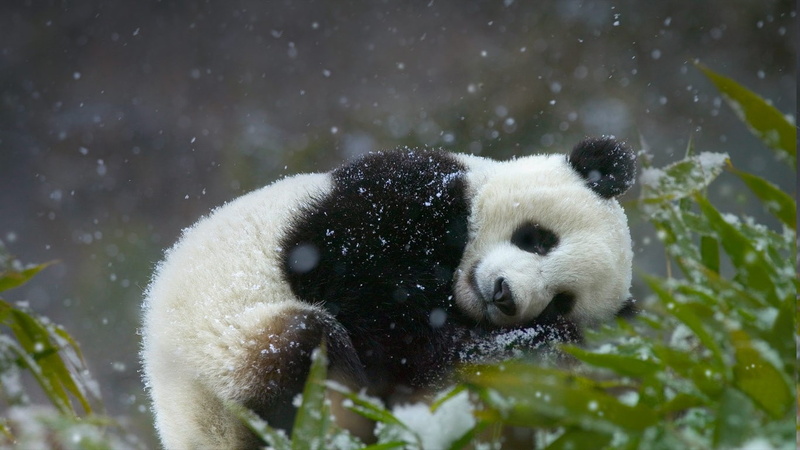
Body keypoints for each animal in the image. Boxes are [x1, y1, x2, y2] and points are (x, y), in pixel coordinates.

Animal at [141, 136, 637, 449]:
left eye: (560, 299)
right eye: (537, 239)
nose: (504, 296)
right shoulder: (399, 196)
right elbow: (358, 287)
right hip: (224, 349)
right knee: (301, 348)